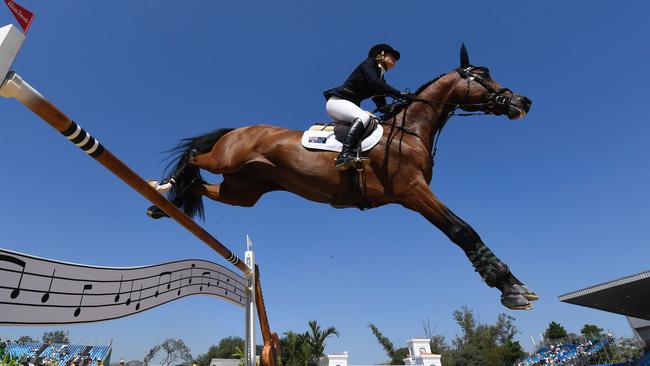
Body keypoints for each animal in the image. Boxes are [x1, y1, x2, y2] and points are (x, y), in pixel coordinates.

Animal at [149, 44, 536, 310]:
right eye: (482, 76)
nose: (522, 101)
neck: (410, 130)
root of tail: (239, 130)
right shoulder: (412, 191)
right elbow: (462, 230)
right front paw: (510, 287)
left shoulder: (413, 193)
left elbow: (463, 231)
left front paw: (513, 284)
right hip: (227, 160)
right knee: (194, 156)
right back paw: (163, 187)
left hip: (243, 191)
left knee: (202, 183)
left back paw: (164, 205)